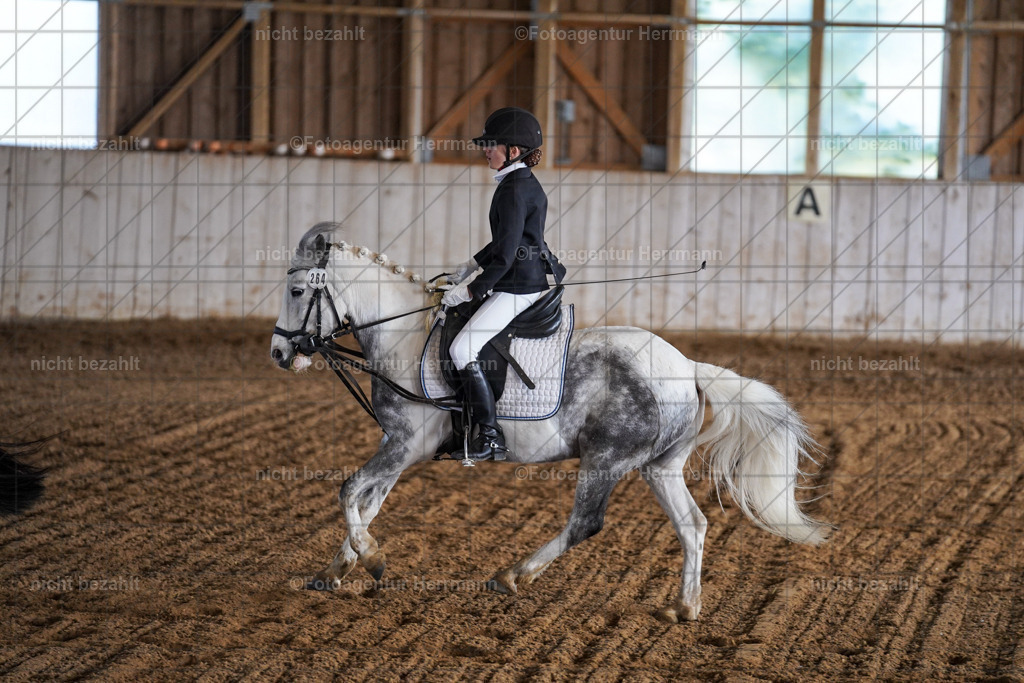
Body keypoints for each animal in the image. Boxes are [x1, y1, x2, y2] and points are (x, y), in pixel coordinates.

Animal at [270, 223, 829, 622]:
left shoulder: (406, 444)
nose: (279, 354)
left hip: (606, 459)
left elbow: (348, 490)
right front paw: (337, 569)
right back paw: (685, 607)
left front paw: (370, 558)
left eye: (297, 291)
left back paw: (514, 575)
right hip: (660, 466)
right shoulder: (401, 447)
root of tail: (687, 365)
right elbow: (368, 502)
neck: (404, 337)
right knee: (692, 525)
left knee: (586, 523)